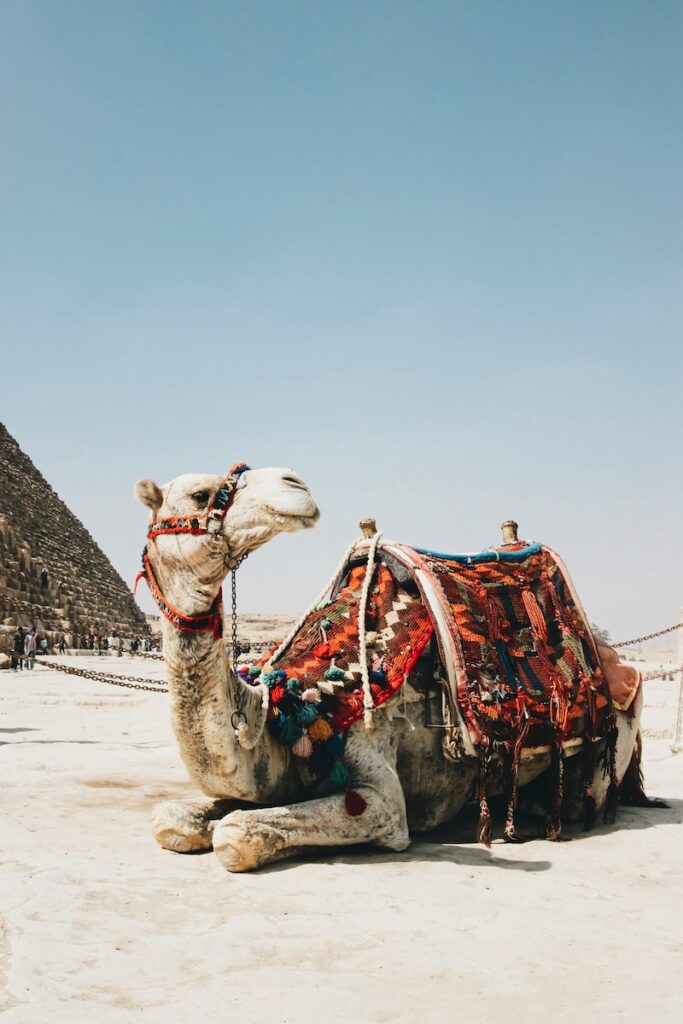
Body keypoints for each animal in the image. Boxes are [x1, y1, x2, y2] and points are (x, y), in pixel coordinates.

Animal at [135, 464, 650, 873]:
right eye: (200, 495)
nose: (293, 482)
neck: (294, 710)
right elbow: (172, 819)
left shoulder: (383, 797)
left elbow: (236, 834)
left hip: (613, 738)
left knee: (584, 797)